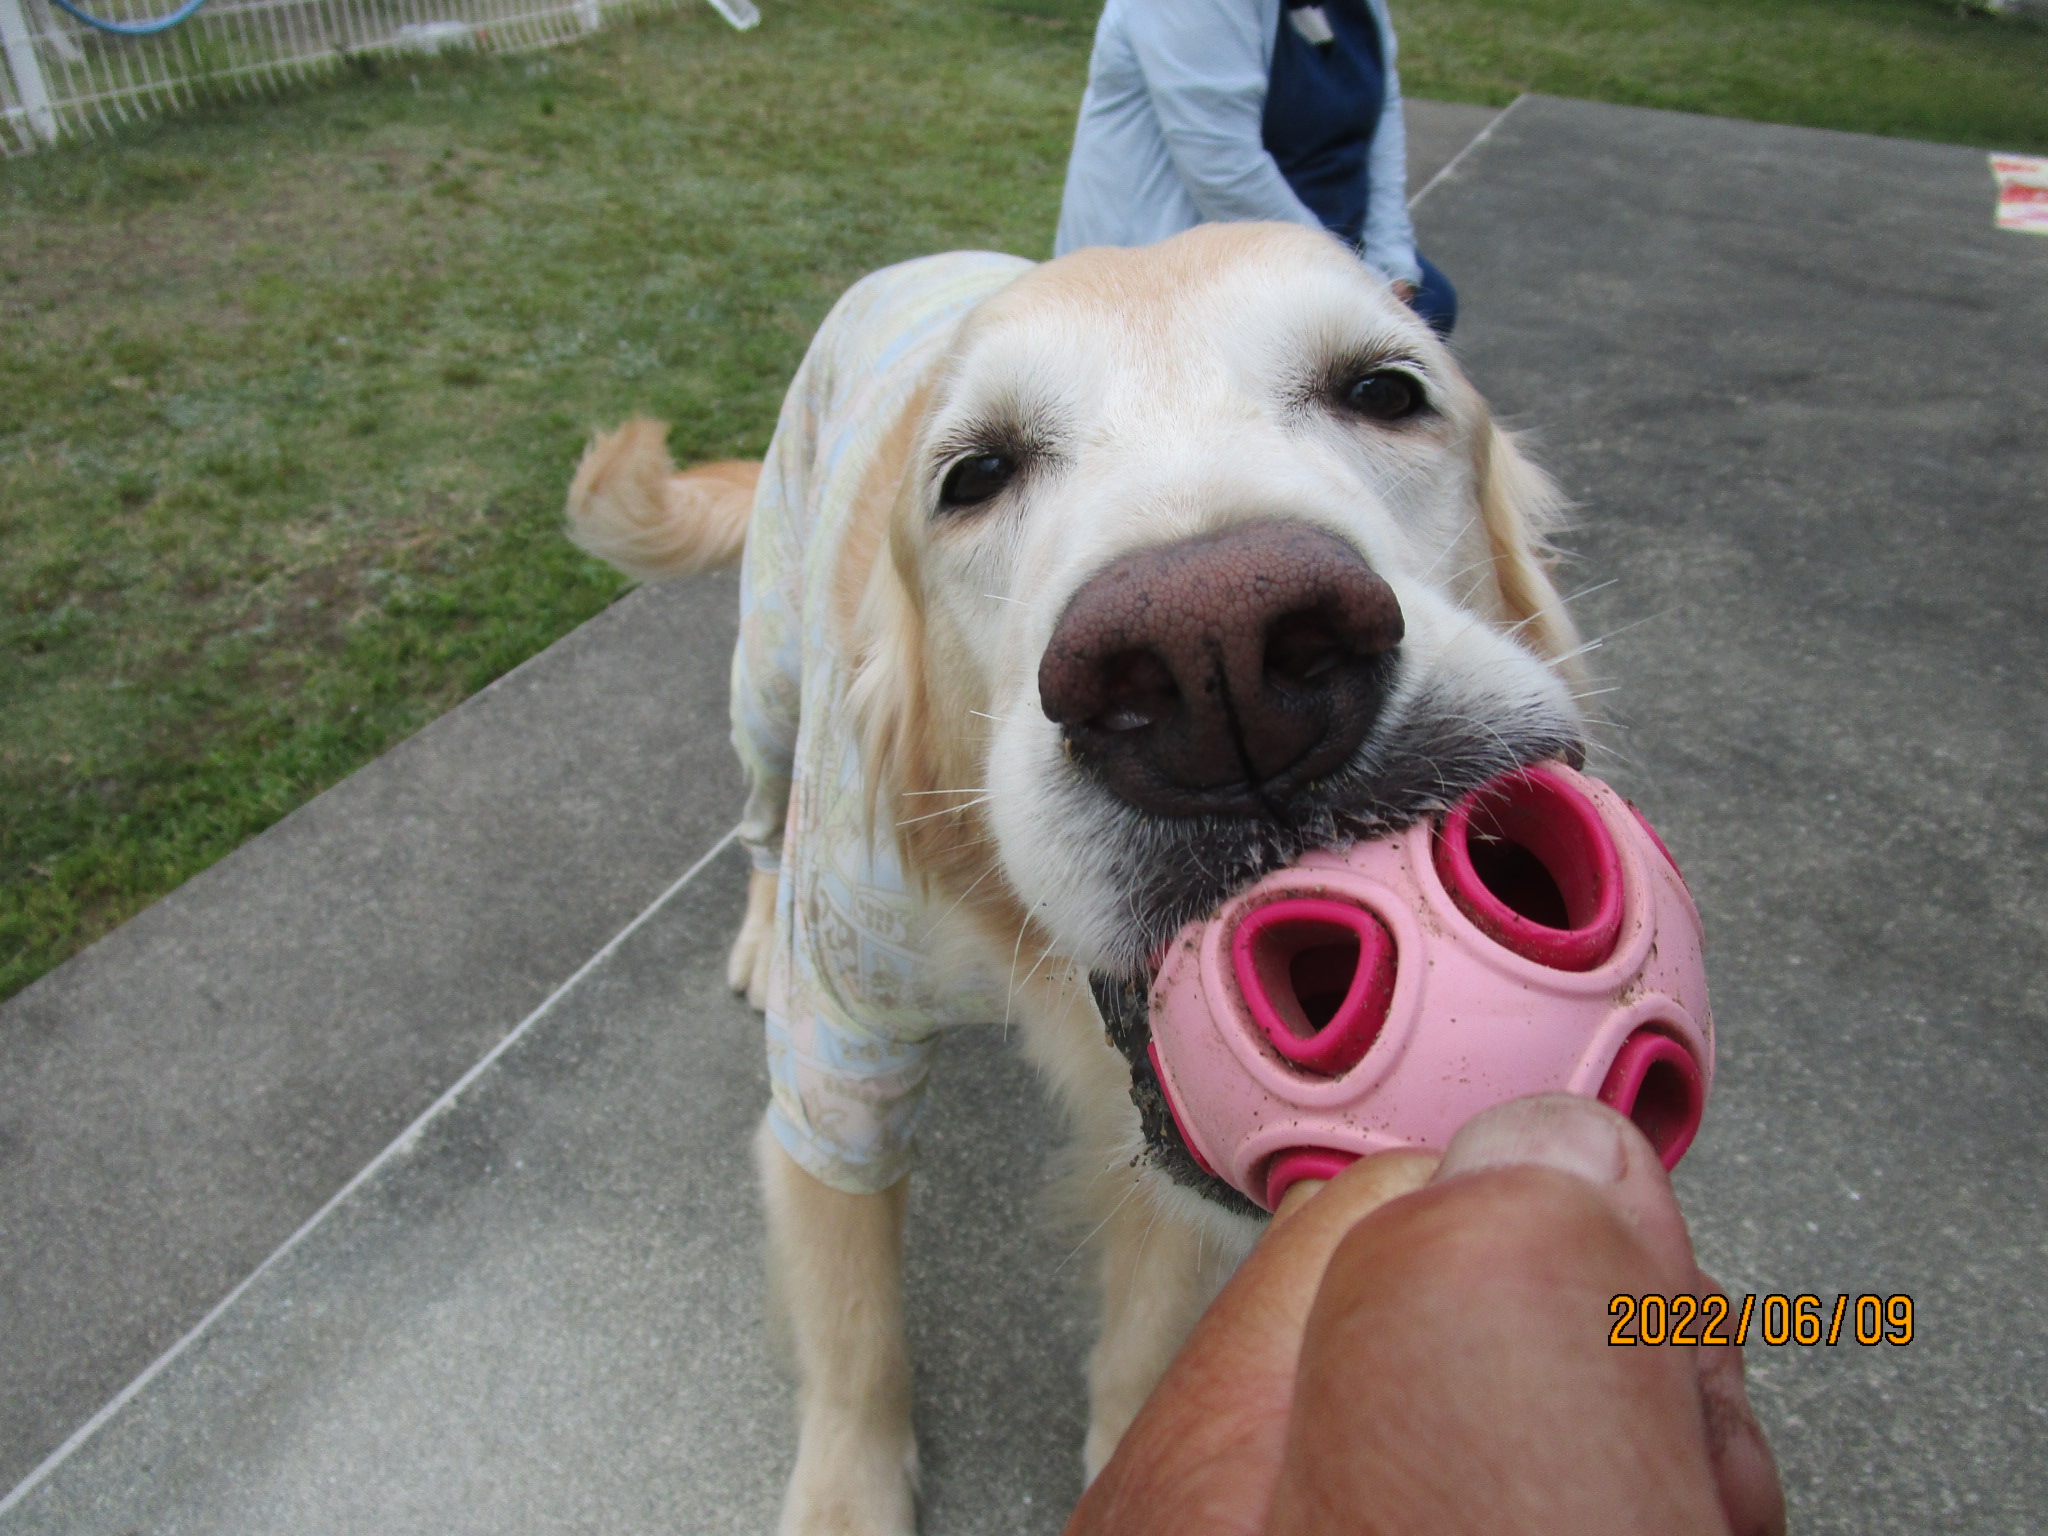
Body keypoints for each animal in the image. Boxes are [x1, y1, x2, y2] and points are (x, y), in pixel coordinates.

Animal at [569, 219, 1589, 1536]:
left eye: (1383, 391)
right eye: (972, 475)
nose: (1221, 668)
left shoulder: (1166, 1125)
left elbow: (1148, 1325)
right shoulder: (836, 1061)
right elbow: (852, 1322)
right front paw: (848, 1486)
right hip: (768, 683)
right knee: (757, 813)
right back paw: (754, 925)